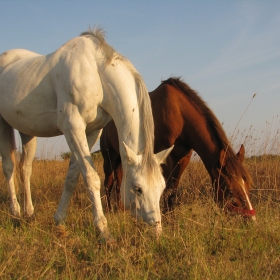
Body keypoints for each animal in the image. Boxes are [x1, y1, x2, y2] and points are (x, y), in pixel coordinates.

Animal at [0, 27, 173, 240]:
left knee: (25, 168)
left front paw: (59, 220)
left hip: (27, 131)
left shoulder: (91, 131)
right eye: (138, 188)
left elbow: (73, 176)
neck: (96, 72)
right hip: (2, 124)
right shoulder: (72, 127)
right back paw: (15, 212)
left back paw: (29, 213)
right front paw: (103, 231)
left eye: (162, 187)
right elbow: (91, 177)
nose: (156, 231)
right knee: (8, 167)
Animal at [100, 77, 256, 220]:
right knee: (108, 184)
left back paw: (121, 210)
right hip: (109, 158)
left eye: (248, 184)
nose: (251, 220)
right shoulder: (166, 158)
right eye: (230, 190)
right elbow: (168, 190)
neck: (180, 114)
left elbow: (173, 191)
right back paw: (108, 211)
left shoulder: (183, 158)